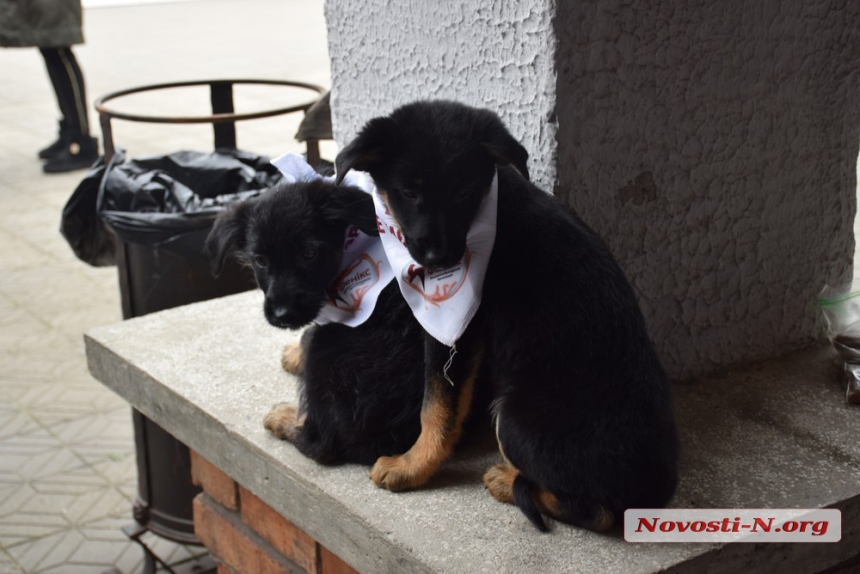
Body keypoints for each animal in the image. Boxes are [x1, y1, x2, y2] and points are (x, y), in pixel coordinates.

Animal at [206, 180, 426, 468]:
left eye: (309, 253)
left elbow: (306, 333)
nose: (283, 315)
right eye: (260, 260)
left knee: (321, 446)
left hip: (326, 348)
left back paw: (284, 417)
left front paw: (294, 356)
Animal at [336, 101, 680, 532]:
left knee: (598, 512)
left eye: (464, 192)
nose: (441, 262)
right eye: (409, 192)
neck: (487, 213)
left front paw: (411, 468)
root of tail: (654, 492)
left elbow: (436, 407)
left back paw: (509, 482)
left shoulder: (458, 334)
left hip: (513, 416)